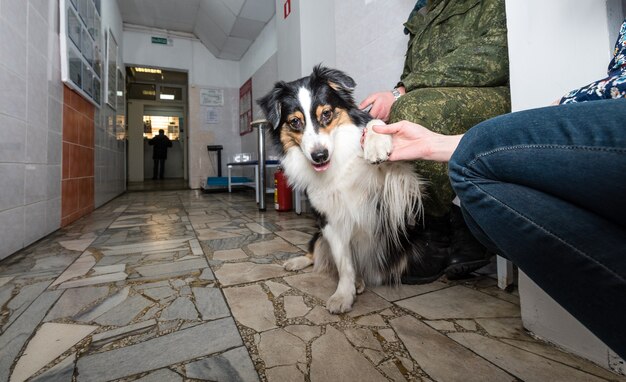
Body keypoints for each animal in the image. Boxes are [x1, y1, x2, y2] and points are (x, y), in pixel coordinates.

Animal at [255, 64, 424, 312]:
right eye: (295, 122)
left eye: (326, 114)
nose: (319, 156)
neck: (336, 164)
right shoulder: (329, 220)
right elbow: (344, 263)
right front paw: (344, 295)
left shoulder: (399, 187)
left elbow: (376, 125)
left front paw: (376, 143)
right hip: (319, 232)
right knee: (315, 251)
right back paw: (301, 263)